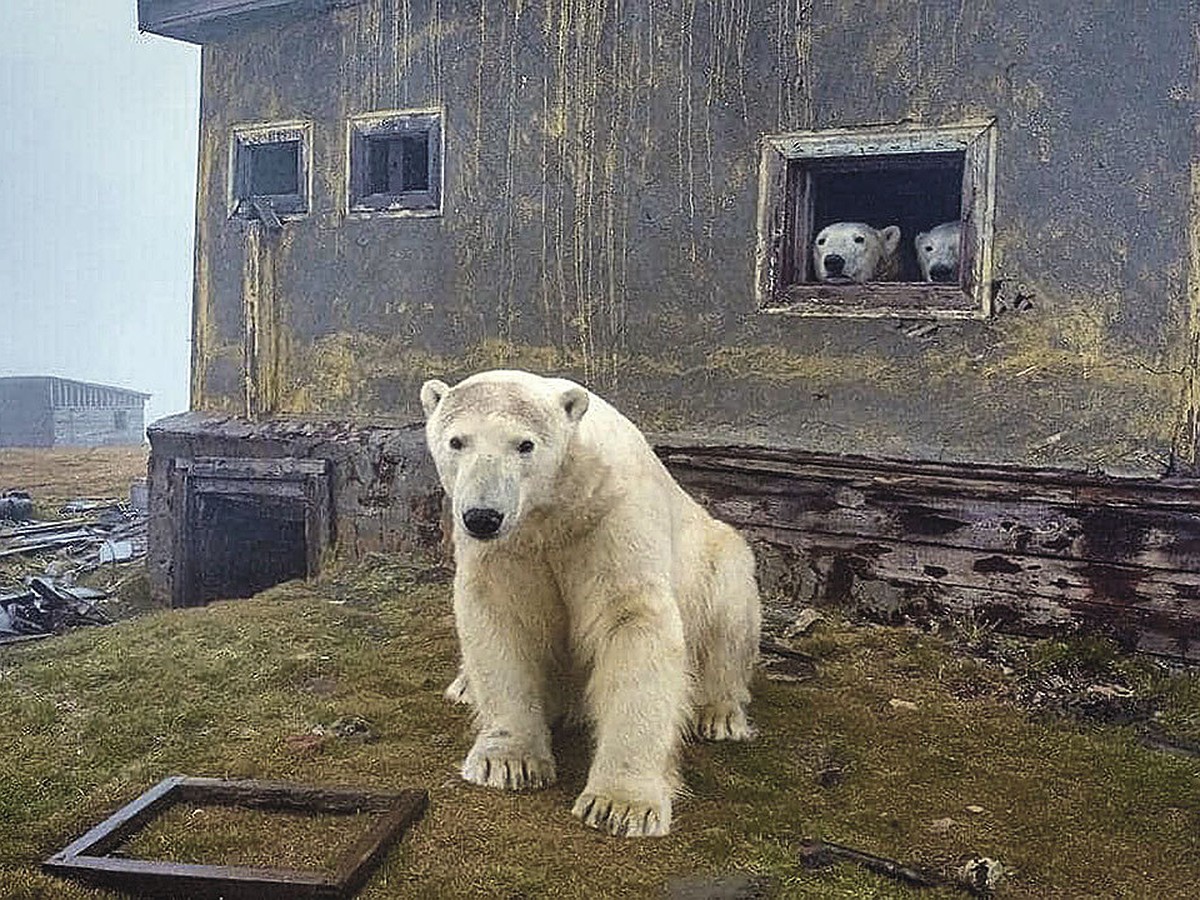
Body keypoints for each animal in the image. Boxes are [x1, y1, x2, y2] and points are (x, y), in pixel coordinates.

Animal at [422, 367, 758, 840]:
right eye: (457, 441)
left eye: (525, 444)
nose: (483, 516)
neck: (554, 510)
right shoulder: (508, 549)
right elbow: (501, 619)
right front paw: (508, 762)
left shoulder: (611, 519)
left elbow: (632, 621)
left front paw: (621, 804)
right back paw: (465, 686)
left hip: (716, 557)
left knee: (729, 613)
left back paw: (719, 713)